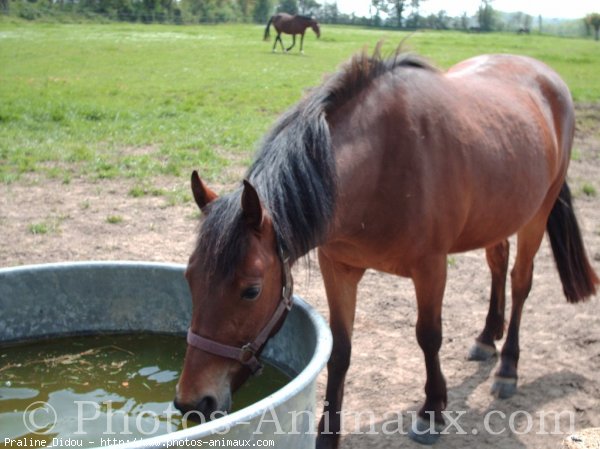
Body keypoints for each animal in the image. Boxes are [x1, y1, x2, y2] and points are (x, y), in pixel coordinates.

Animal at [175, 44, 600, 444]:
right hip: (498, 215)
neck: (382, 163)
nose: (193, 402)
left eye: (251, 290)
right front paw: (327, 434)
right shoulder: (339, 268)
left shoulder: (431, 268)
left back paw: (508, 368)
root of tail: (548, 77)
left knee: (520, 281)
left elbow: (429, 336)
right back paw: (485, 337)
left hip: (537, 214)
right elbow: (340, 350)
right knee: (498, 262)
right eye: (189, 279)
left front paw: (431, 412)